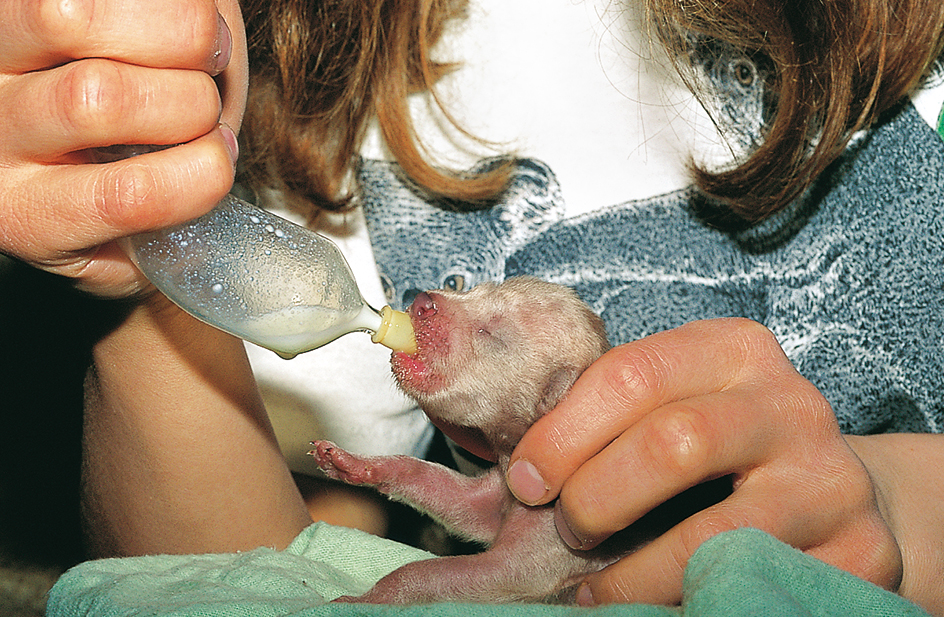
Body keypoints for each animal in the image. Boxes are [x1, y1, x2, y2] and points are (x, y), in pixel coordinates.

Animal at [314, 278, 612, 600]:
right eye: (474, 289)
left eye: (491, 335)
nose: (422, 302)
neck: (510, 445)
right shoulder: (503, 488)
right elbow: (455, 496)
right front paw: (353, 463)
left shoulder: (554, 537)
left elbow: (480, 571)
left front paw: (367, 598)